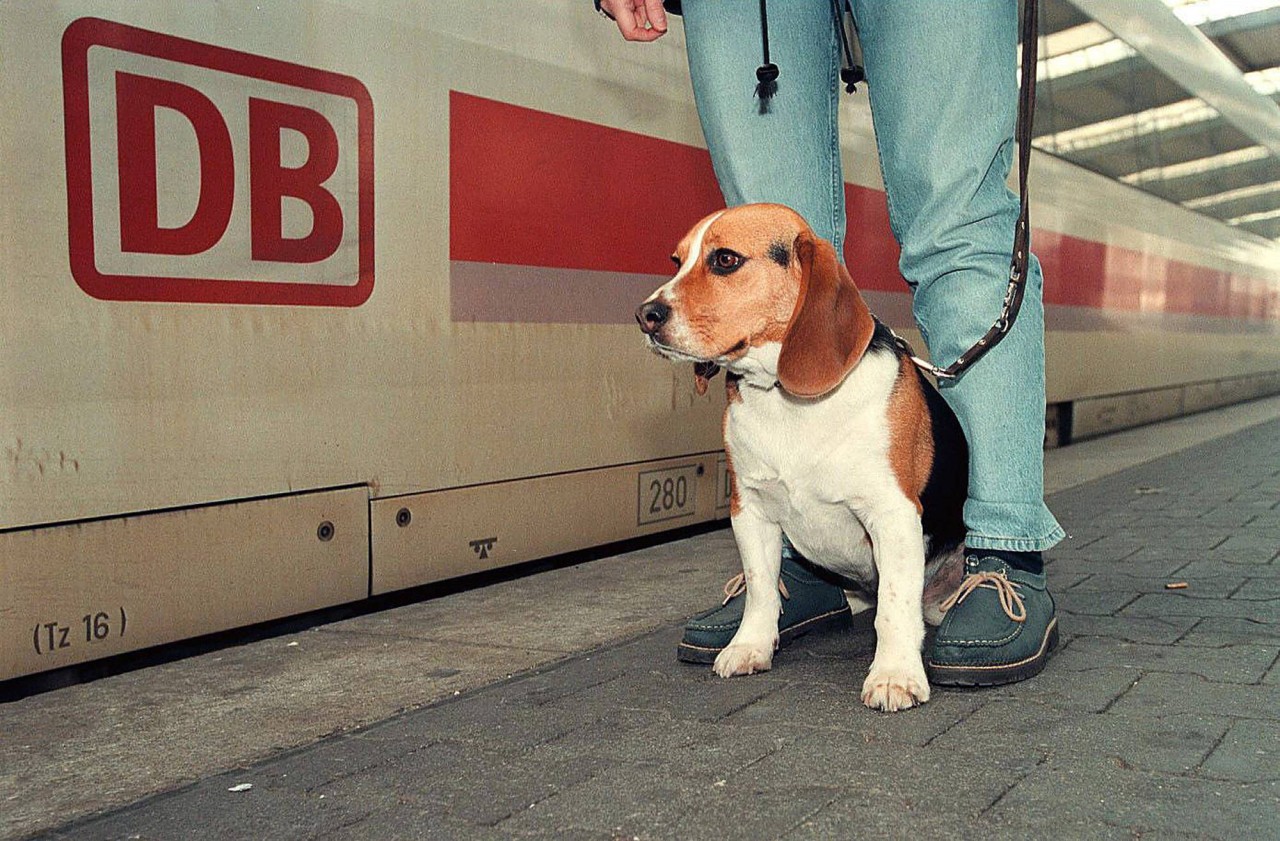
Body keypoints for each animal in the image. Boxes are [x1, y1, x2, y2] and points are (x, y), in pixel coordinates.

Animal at [634, 203, 962, 706]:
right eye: (676, 261)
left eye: (725, 260)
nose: (645, 315)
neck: (785, 399)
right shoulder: (750, 510)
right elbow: (761, 589)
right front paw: (749, 646)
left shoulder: (893, 514)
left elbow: (894, 606)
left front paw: (894, 674)